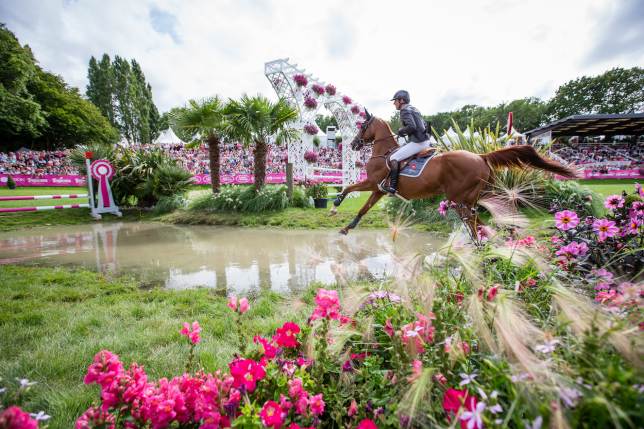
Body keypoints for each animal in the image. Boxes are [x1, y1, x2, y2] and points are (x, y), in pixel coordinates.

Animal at [330, 110, 576, 236]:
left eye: (362, 126)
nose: (353, 144)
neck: (384, 152)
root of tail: (480, 156)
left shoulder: (373, 183)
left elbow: (348, 187)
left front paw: (335, 206)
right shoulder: (380, 190)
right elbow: (363, 209)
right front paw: (347, 227)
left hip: (460, 200)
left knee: (475, 222)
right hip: (481, 194)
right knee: (494, 209)